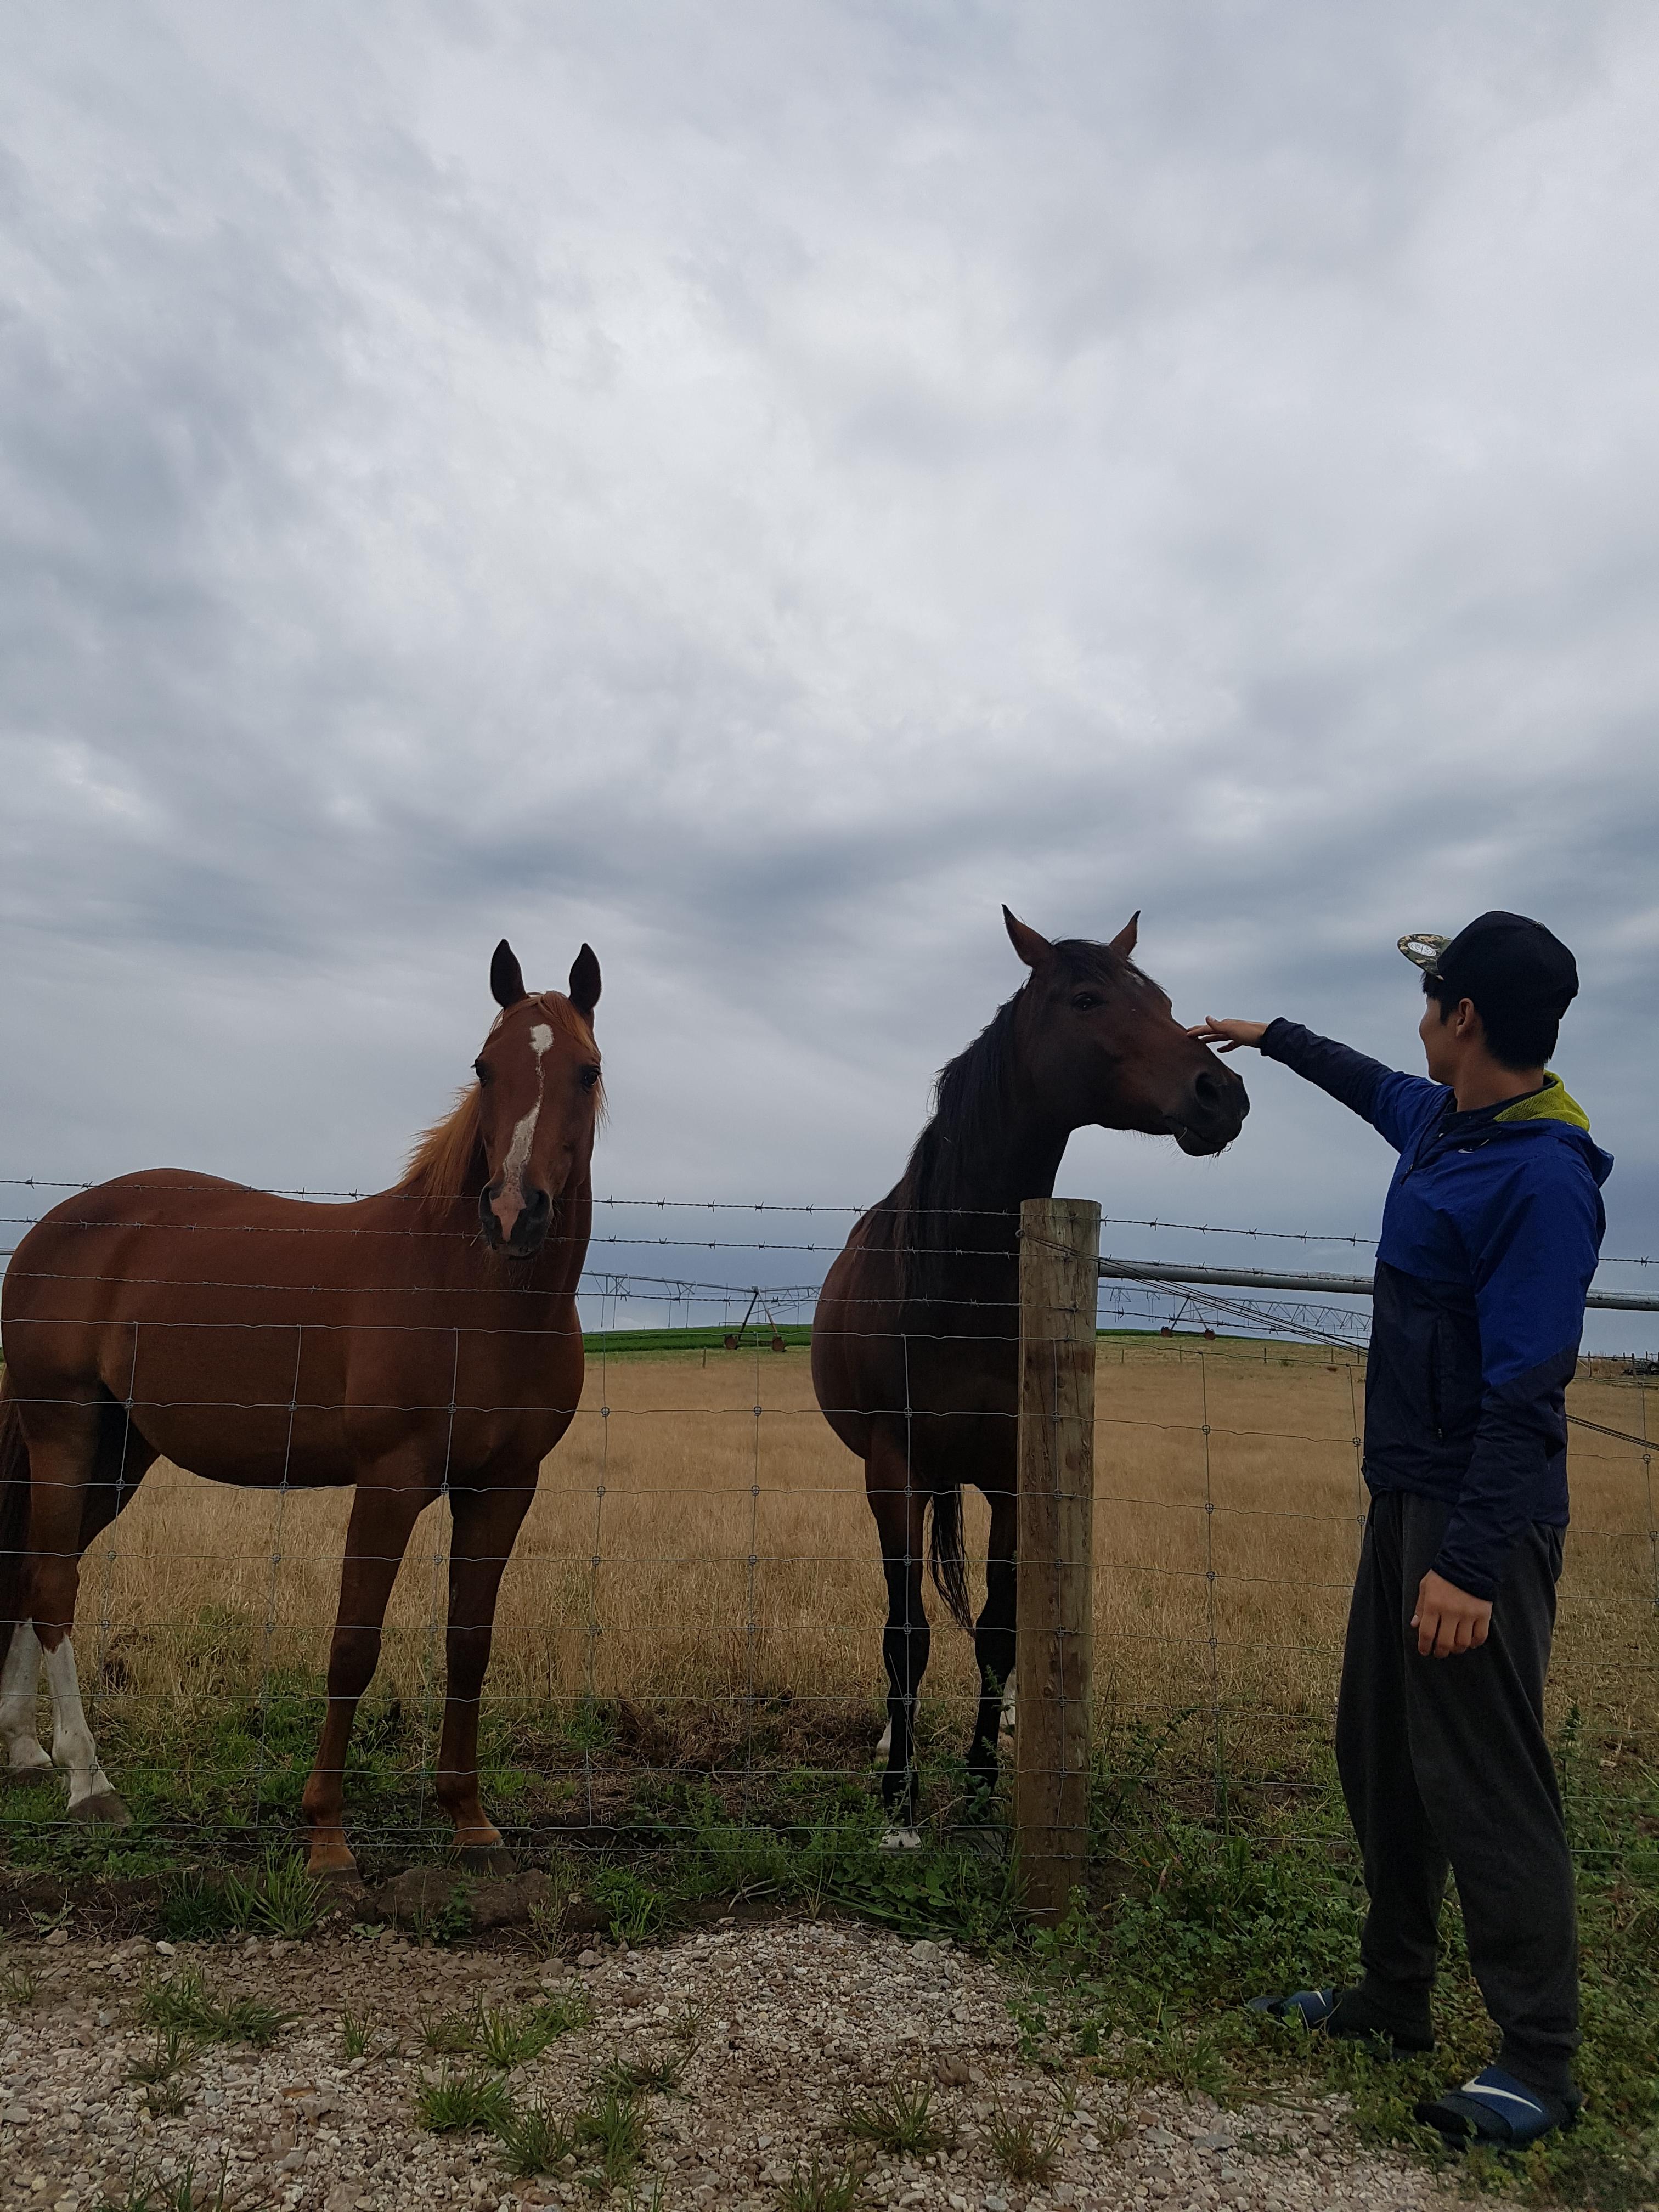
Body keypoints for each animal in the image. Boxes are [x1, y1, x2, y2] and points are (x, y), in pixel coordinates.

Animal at [0, 937, 602, 1875]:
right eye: (484, 1067)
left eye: (586, 1069)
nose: (513, 1212)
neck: (474, 1293)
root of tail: (51, 1226)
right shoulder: (391, 1481)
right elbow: (353, 1644)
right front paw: (325, 1830)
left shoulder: (504, 1486)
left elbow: (470, 1643)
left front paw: (469, 1818)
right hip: (64, 1429)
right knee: (57, 1583)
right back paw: (89, 1784)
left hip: (119, 1453)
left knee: (33, 1570)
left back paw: (30, 1751)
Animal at [811, 907, 1248, 1835]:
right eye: (1086, 999)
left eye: (1166, 1003)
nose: (1223, 1095)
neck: (959, 1278)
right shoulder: (895, 1471)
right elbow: (906, 1634)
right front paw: (898, 1800)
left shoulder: (1013, 1474)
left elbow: (1000, 1630)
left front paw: (981, 1784)